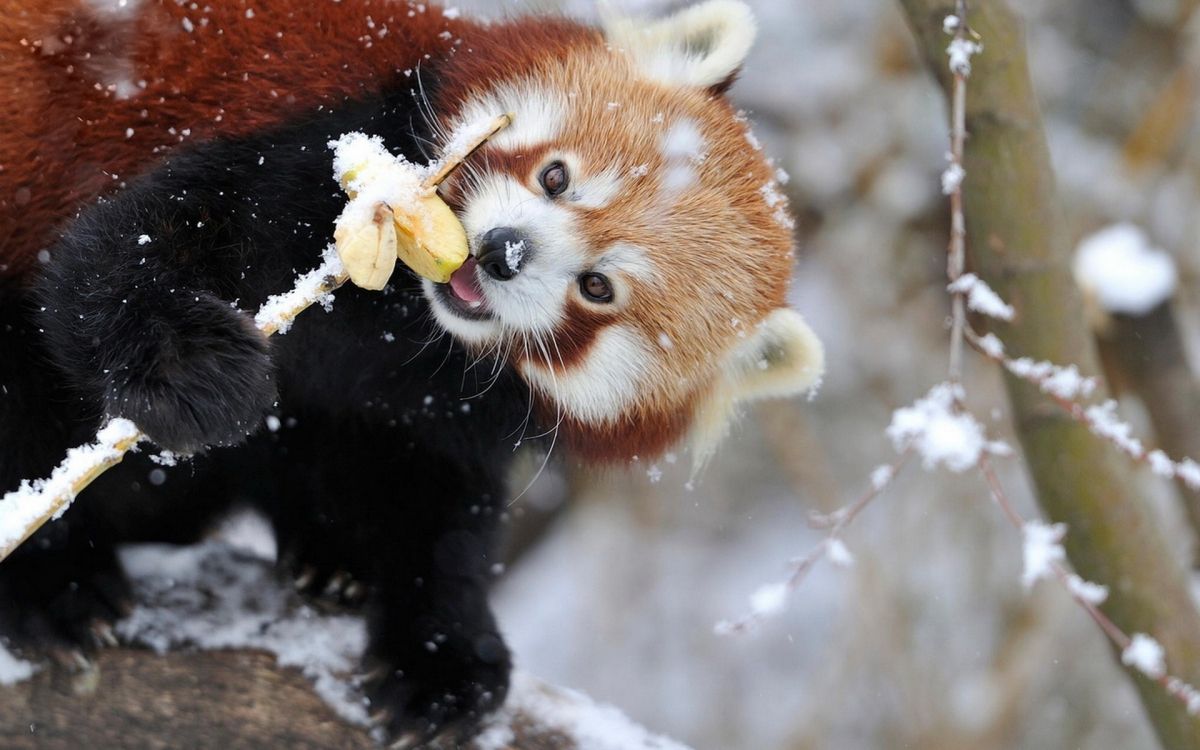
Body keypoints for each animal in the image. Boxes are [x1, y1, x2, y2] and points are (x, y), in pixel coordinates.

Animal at [0, 1, 820, 744]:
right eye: (557, 177)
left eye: (598, 287)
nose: (503, 251)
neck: (407, 324)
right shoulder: (321, 154)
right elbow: (127, 247)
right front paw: (193, 370)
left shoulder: (447, 408)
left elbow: (437, 506)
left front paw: (444, 657)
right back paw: (51, 583)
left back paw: (329, 556)